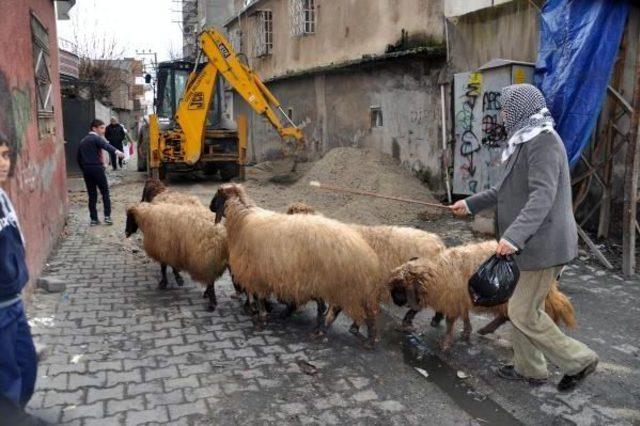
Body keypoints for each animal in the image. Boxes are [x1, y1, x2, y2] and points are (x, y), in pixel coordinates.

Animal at [210, 185, 382, 348]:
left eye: (217, 195)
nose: (211, 207)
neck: (242, 217)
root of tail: (361, 247)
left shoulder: (255, 272)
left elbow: (259, 297)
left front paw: (261, 318)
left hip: (337, 282)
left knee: (356, 309)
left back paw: (362, 338)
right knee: (334, 307)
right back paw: (323, 329)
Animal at [388, 241, 576, 352]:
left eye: (399, 289)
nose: (395, 302)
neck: (437, 272)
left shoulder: (452, 299)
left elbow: (450, 322)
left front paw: (446, 342)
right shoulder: (461, 298)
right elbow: (464, 315)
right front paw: (466, 331)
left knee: (510, 316)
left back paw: (487, 329)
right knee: (508, 316)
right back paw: (486, 330)